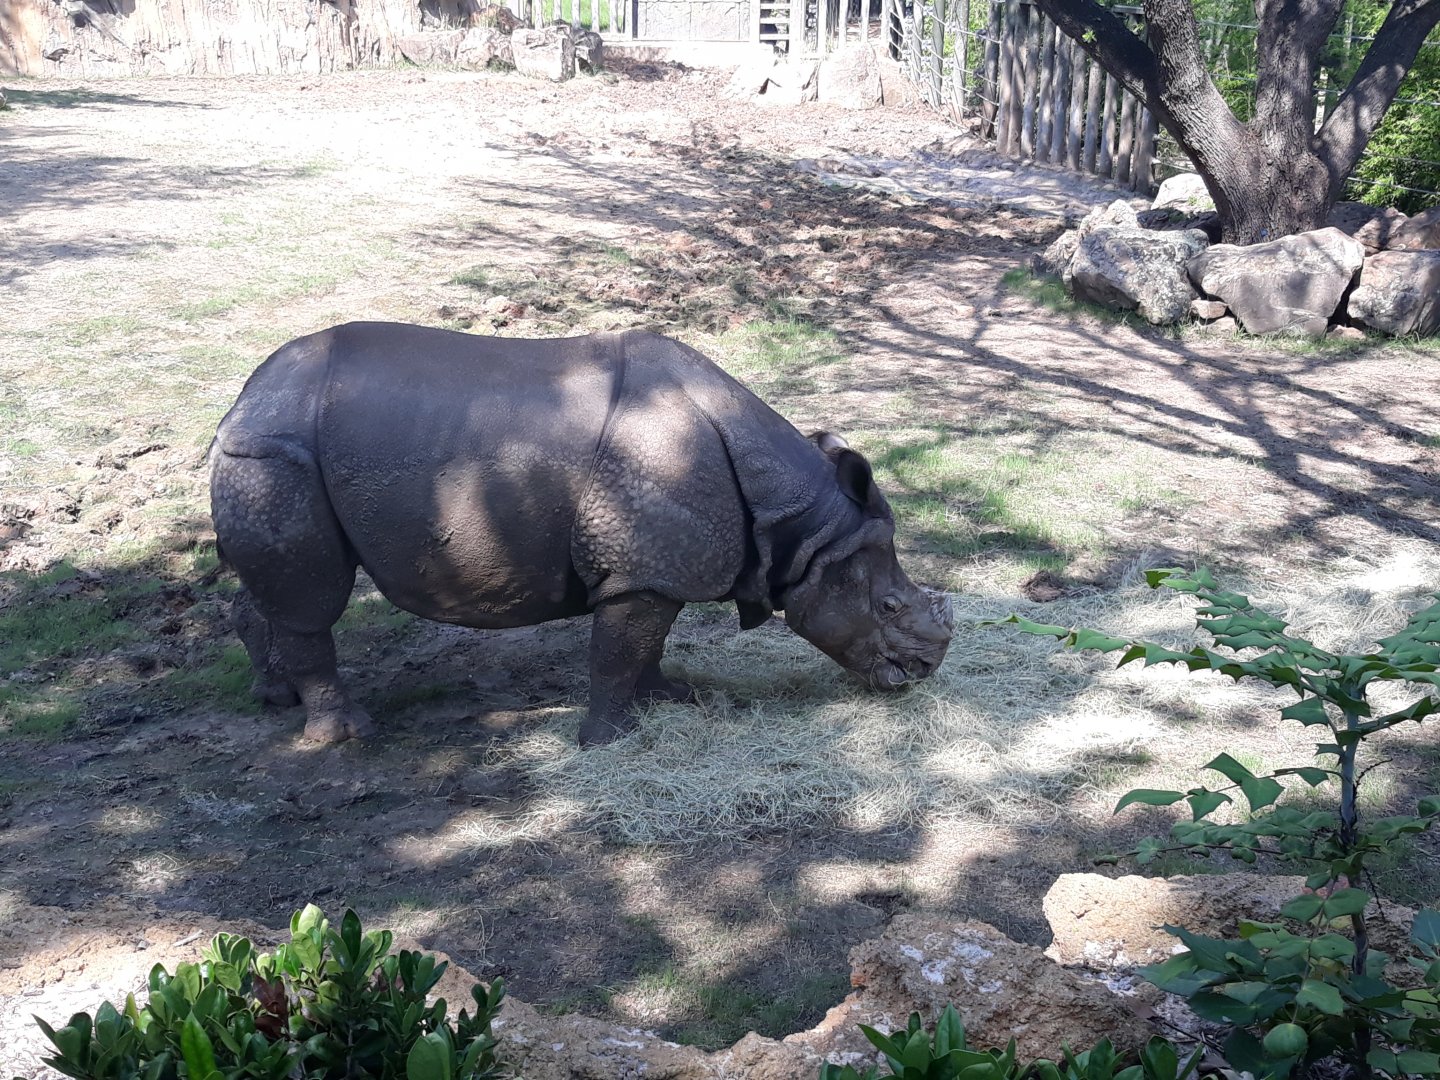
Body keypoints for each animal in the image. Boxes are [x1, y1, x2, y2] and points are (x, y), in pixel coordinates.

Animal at [210, 322, 954, 746]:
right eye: (888, 606)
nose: (925, 671)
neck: (800, 524)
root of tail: (243, 395)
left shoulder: (650, 569)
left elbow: (648, 644)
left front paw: (667, 702)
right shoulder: (639, 569)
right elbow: (617, 653)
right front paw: (607, 743)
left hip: (279, 445)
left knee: (276, 589)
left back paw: (275, 698)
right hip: (280, 448)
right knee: (312, 598)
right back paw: (344, 737)